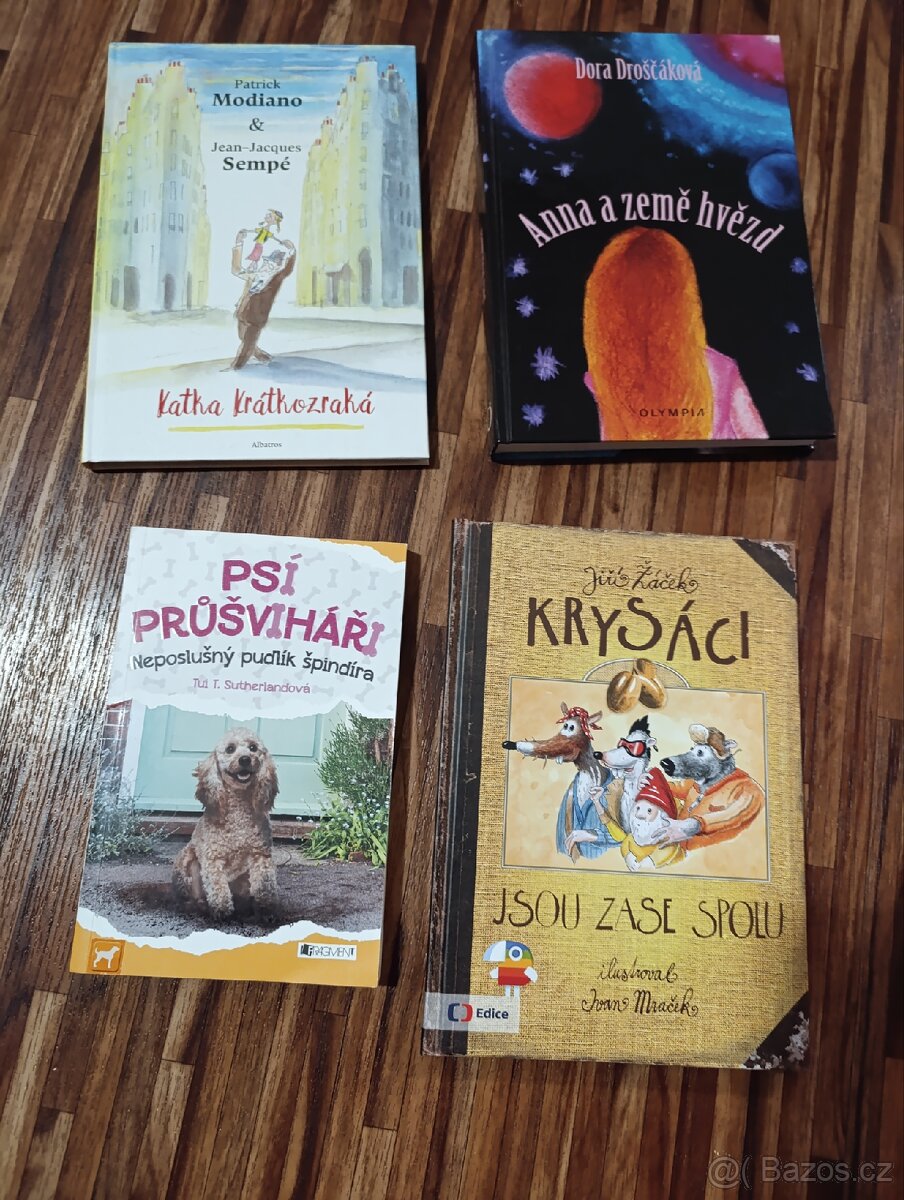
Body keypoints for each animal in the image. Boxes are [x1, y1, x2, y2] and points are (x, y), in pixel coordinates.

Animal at [172, 727, 279, 920]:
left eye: (253, 748)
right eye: (230, 749)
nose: (245, 759)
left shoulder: (260, 855)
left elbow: (264, 886)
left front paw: (266, 910)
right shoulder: (212, 859)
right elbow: (218, 888)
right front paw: (222, 911)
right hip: (185, 862)